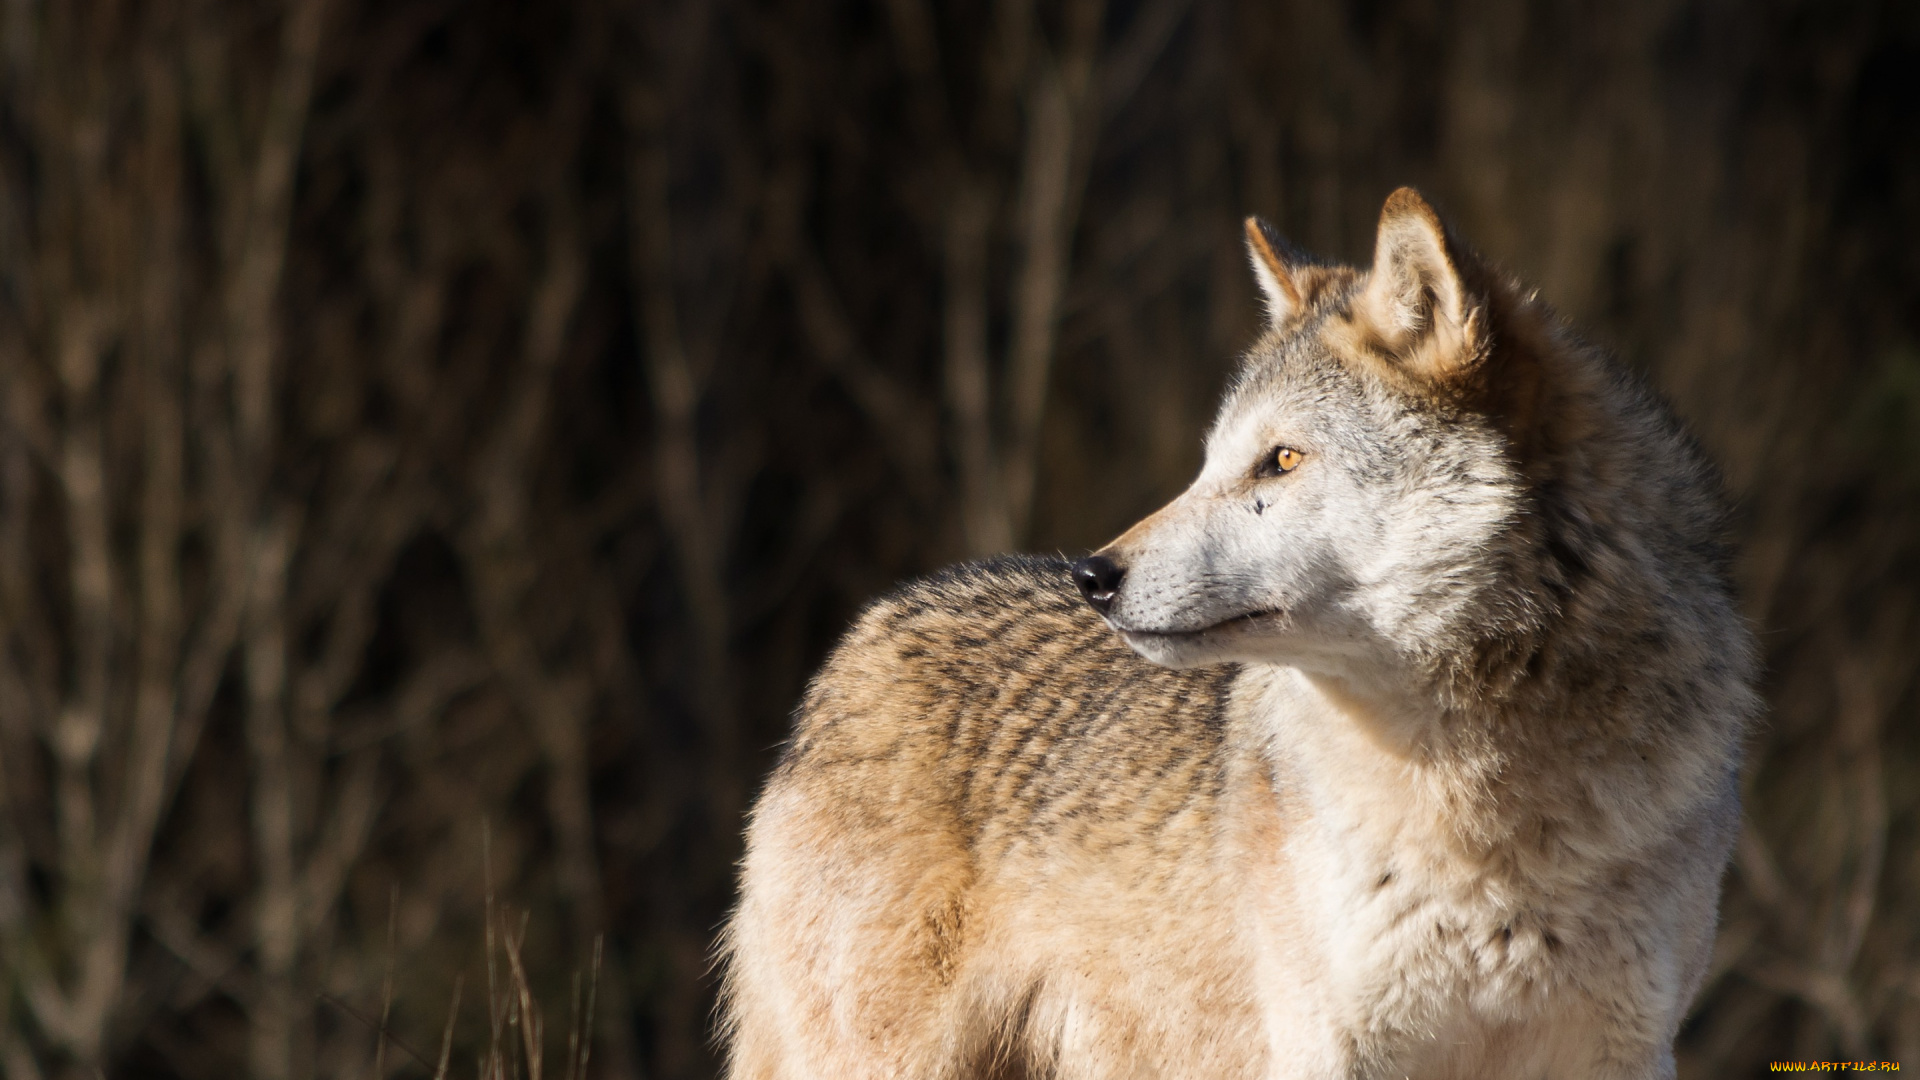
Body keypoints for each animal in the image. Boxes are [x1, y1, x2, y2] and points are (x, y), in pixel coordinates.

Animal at [718, 189, 1758, 1068]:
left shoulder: (1623, 1049)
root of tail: (862, 634)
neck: (1488, 809)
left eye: (1281, 460)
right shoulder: (1331, 1047)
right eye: (1212, 461)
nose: (1093, 577)